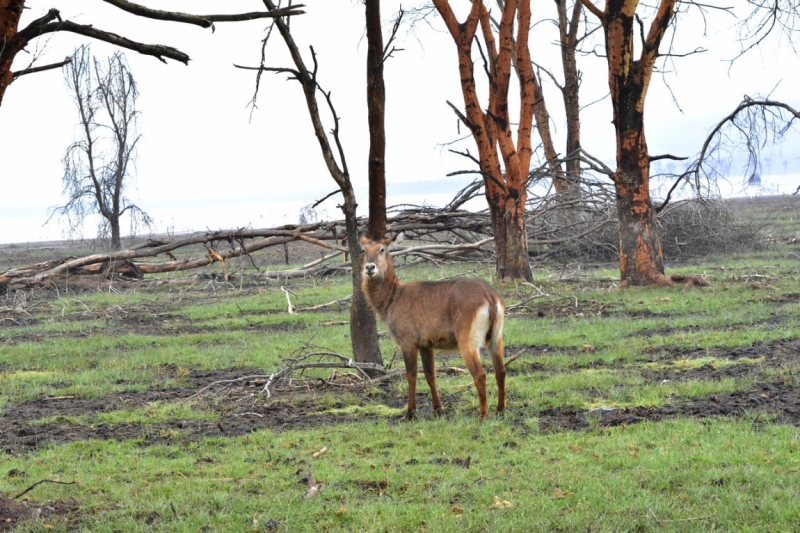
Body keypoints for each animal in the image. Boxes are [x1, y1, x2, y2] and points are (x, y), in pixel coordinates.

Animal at [360, 233, 506, 420]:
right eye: (364, 250)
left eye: (382, 249)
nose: (370, 267)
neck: (393, 296)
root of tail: (488, 294)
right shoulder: (426, 344)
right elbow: (430, 374)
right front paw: (438, 409)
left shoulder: (408, 342)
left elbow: (411, 375)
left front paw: (410, 413)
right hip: (495, 338)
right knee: (501, 370)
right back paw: (500, 410)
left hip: (468, 341)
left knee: (480, 375)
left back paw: (482, 417)